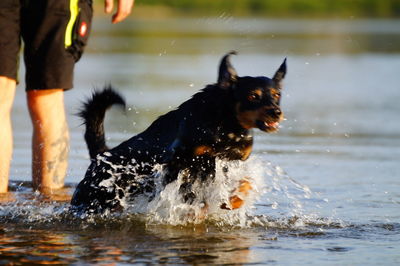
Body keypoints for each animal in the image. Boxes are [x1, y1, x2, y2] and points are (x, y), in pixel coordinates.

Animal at [71, 52, 284, 213]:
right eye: (253, 96)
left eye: (276, 95)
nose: (276, 112)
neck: (223, 122)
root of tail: (101, 155)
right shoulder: (181, 162)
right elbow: (194, 194)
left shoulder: (227, 161)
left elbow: (244, 184)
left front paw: (233, 201)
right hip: (91, 200)